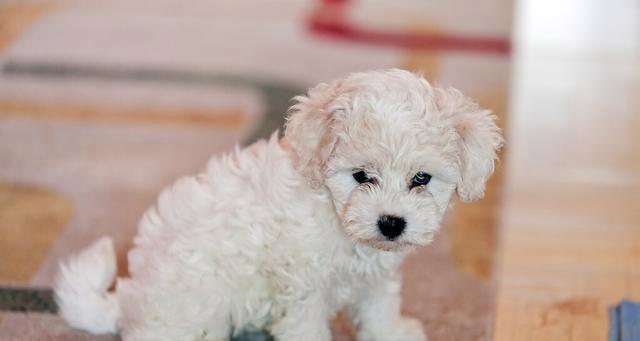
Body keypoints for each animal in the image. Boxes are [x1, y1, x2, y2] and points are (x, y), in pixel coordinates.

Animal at [55, 69, 502, 340]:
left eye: (421, 179)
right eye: (361, 176)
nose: (391, 223)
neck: (333, 212)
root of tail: (129, 300)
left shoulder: (376, 274)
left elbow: (379, 307)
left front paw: (392, 333)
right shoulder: (303, 281)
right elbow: (307, 326)